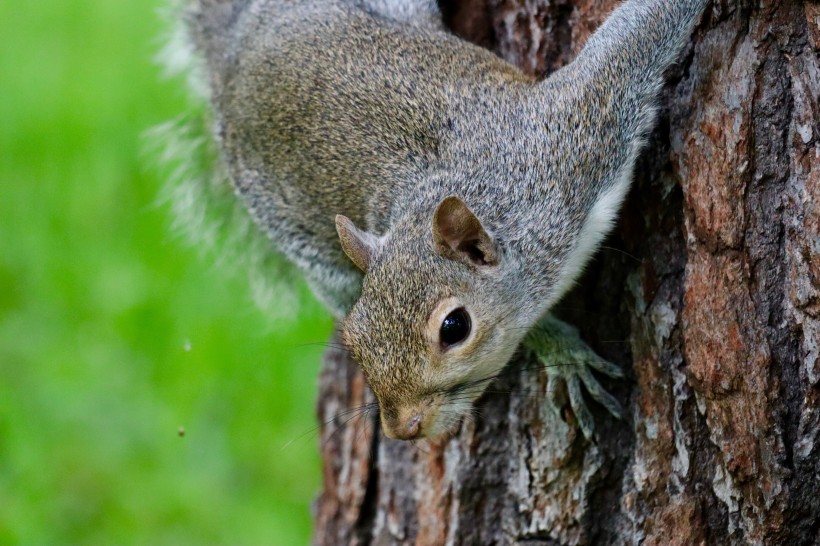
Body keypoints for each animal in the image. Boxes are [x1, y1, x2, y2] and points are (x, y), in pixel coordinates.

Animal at [176, 0, 708, 438]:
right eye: (354, 339)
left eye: (455, 328)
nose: (402, 429)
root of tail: (233, 52)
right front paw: (564, 354)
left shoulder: (577, 134)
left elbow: (639, 35)